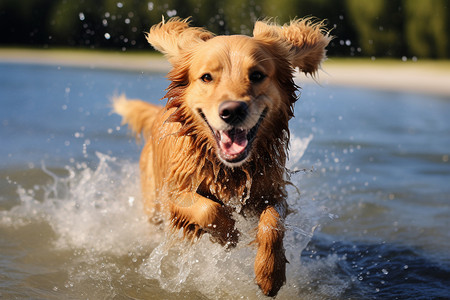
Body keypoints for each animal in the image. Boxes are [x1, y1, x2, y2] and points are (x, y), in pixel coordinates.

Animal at [113, 18, 330, 296]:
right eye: (207, 77)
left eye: (257, 75)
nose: (232, 111)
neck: (228, 168)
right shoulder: (172, 194)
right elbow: (208, 209)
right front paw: (227, 235)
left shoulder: (272, 190)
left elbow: (272, 222)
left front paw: (270, 272)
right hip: (152, 204)